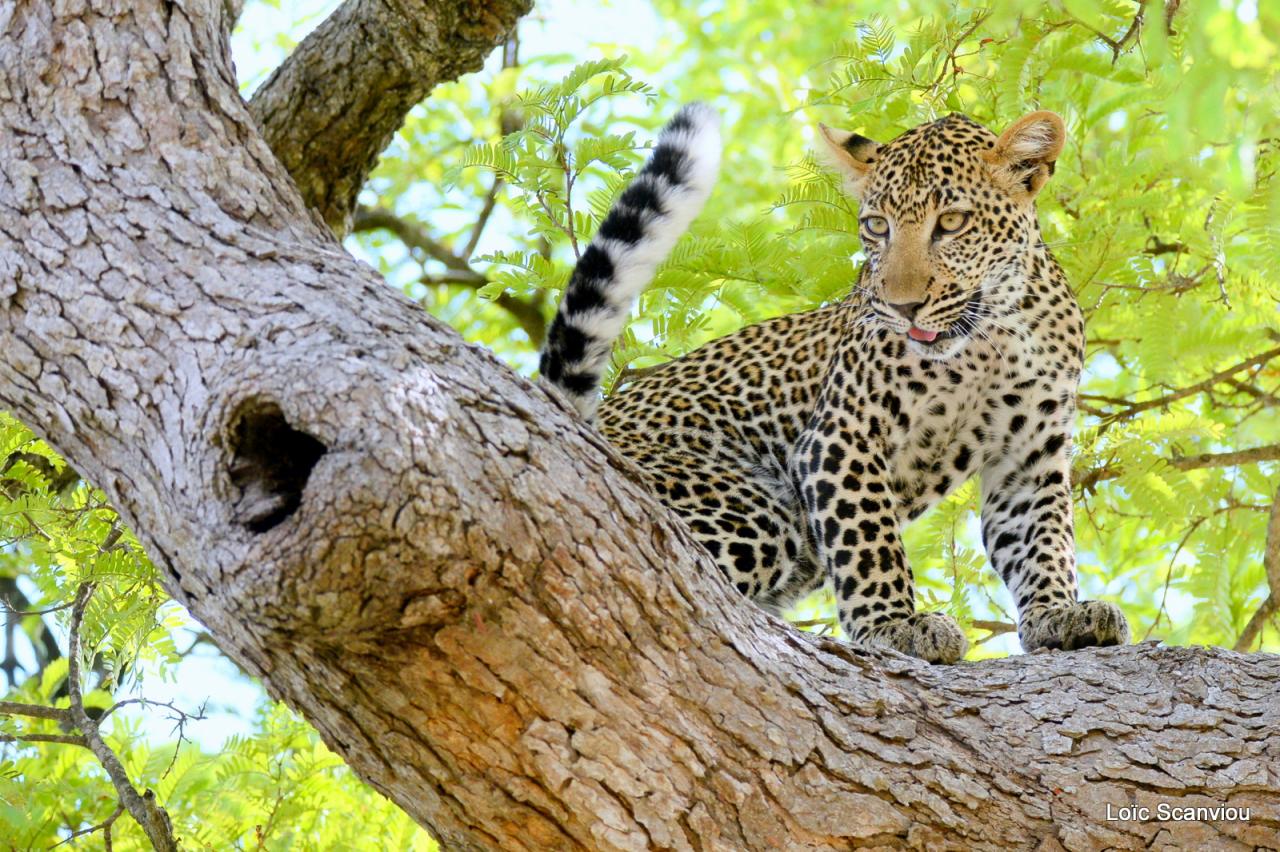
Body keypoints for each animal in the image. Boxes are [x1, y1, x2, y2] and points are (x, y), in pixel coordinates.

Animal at [540, 97, 1131, 654]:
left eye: (952, 222)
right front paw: (895, 625)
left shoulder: (1029, 455)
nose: (904, 307)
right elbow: (868, 538)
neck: (989, 340)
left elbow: (1043, 540)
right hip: (752, 509)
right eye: (877, 227)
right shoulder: (842, 434)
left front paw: (1060, 614)